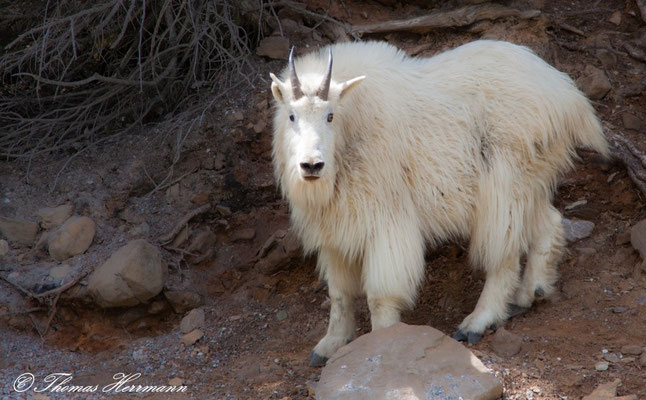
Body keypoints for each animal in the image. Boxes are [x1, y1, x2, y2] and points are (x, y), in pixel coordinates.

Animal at [270, 40, 612, 366]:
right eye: (291, 115)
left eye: (330, 115)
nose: (311, 166)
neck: (351, 128)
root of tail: (568, 97)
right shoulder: (335, 230)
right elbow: (340, 294)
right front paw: (329, 346)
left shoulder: (385, 220)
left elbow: (380, 295)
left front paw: (381, 344)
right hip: (532, 181)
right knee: (549, 222)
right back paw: (531, 293)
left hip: (505, 184)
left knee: (504, 255)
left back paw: (477, 322)